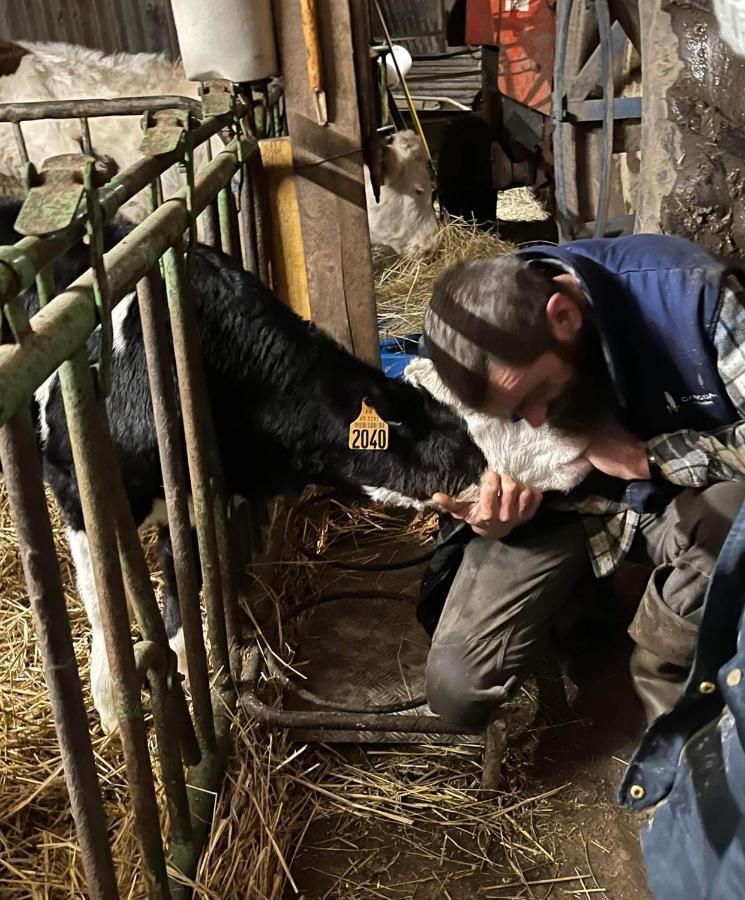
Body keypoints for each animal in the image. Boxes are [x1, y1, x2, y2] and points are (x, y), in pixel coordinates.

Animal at [1, 204, 488, 732]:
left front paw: (193, 693)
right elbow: (101, 601)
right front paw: (114, 713)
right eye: (441, 445)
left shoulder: (194, 492)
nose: (487, 469)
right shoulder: (79, 492)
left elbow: (183, 595)